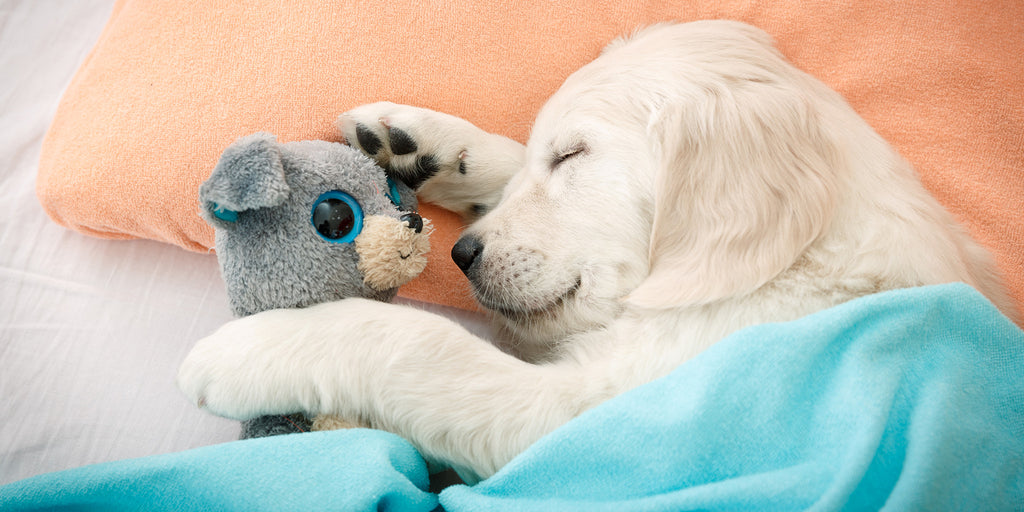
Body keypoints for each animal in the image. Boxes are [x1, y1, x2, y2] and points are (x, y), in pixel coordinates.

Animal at [178, 20, 1015, 483]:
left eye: (576, 155)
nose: (463, 254)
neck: (790, 270)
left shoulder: (599, 419)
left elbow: (419, 344)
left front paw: (253, 350)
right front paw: (423, 144)